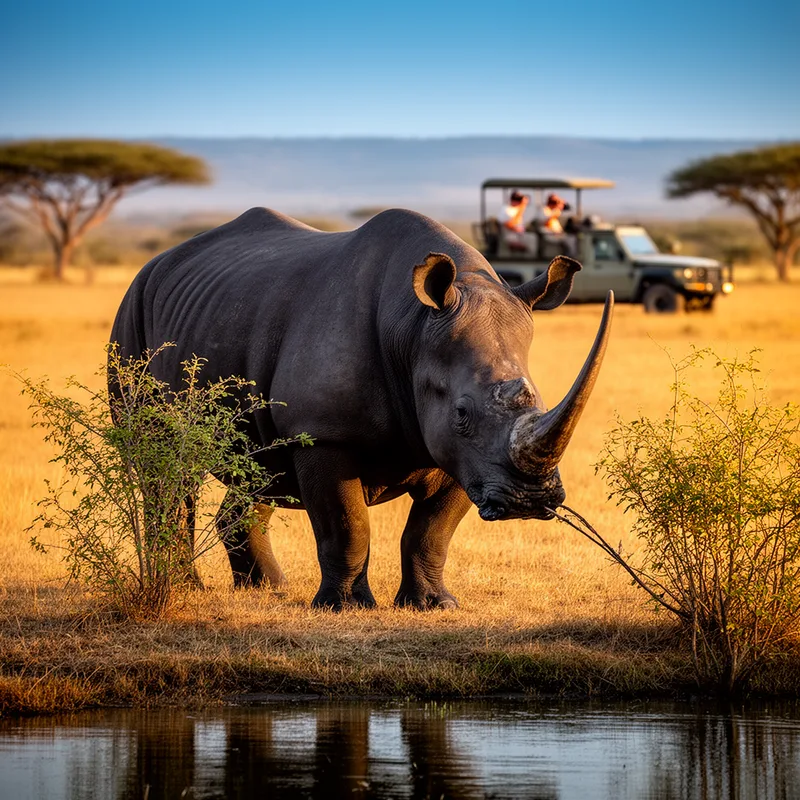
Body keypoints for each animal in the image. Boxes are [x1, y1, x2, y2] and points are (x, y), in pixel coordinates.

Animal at [110, 208, 613, 610]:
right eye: (462, 413)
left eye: (537, 400)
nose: (528, 500)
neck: (414, 329)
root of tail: (154, 264)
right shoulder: (324, 433)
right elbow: (347, 526)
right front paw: (346, 608)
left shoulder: (464, 457)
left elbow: (431, 531)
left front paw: (434, 606)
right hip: (131, 312)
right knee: (165, 466)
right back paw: (186, 588)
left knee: (256, 470)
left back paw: (267, 590)